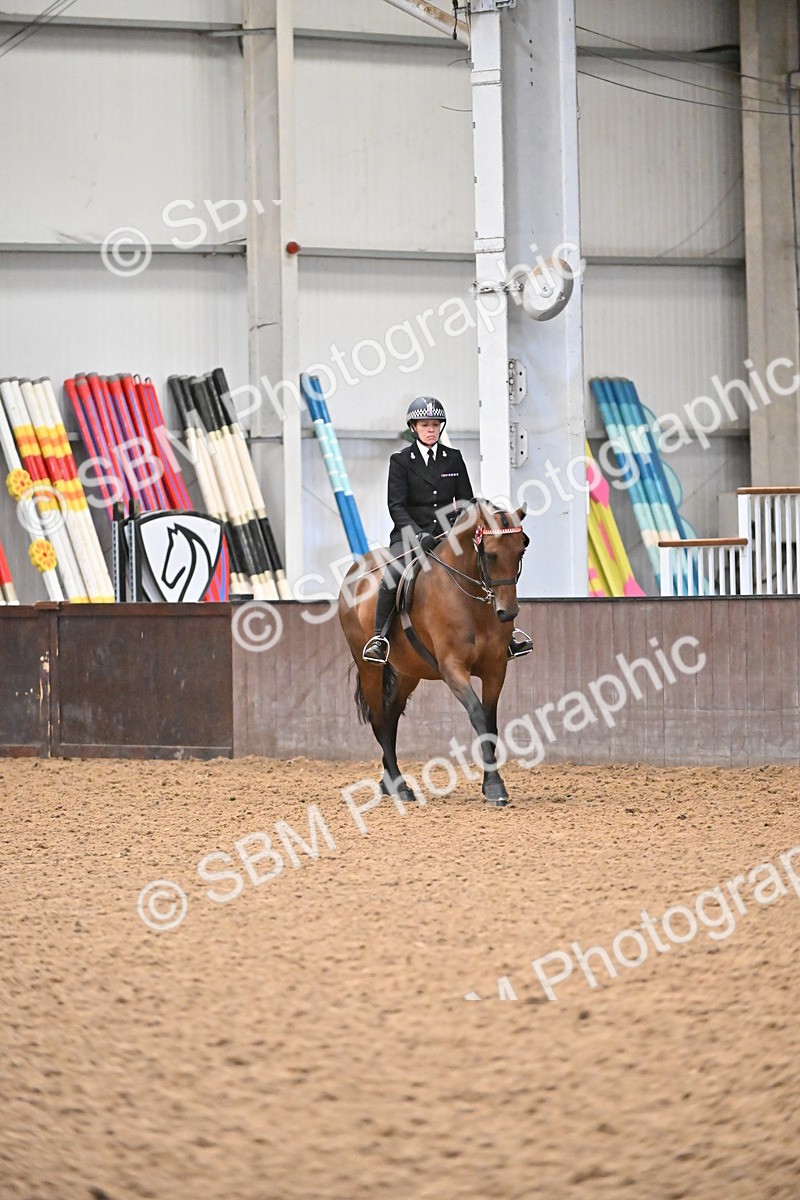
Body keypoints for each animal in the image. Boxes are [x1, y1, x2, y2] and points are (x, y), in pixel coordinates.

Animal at [338, 498, 529, 807]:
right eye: (490, 555)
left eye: (521, 550)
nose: (507, 612)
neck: (470, 599)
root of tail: (356, 569)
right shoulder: (453, 669)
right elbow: (477, 715)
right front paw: (495, 786)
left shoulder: (496, 668)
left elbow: (490, 723)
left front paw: (490, 783)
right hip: (369, 667)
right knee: (379, 719)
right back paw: (401, 787)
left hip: (408, 672)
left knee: (391, 716)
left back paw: (389, 782)